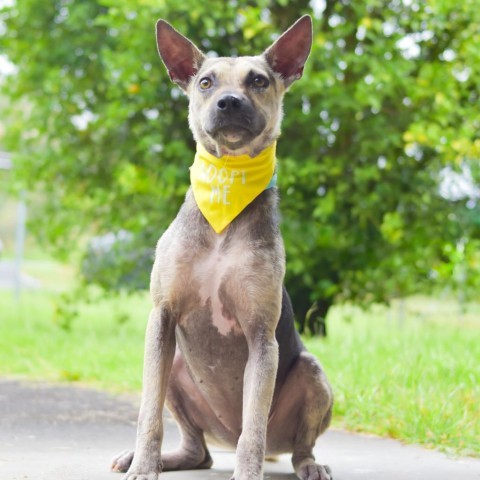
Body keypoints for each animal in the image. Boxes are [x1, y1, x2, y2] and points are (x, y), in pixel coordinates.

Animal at [110, 15, 332, 480]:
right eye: (206, 82)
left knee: (295, 444)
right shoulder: (161, 320)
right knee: (197, 449)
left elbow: (254, 428)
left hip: (312, 375)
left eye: (259, 80)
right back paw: (158, 458)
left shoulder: (262, 335)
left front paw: (247, 474)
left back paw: (308, 464)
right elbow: (148, 415)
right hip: (176, 367)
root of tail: (222, 436)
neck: (226, 199)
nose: (229, 102)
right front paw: (144, 464)